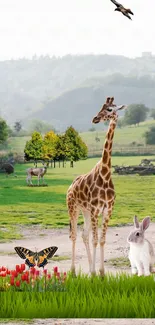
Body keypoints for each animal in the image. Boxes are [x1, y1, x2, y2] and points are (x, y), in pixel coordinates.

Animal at [66, 97, 126, 276]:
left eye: (110, 109)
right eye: (102, 107)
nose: (95, 119)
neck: (105, 175)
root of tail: (70, 187)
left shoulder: (107, 210)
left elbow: (102, 240)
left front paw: (101, 273)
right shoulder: (95, 210)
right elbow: (95, 240)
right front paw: (94, 274)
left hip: (85, 211)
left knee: (84, 235)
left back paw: (89, 268)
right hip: (73, 208)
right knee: (74, 235)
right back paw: (73, 271)